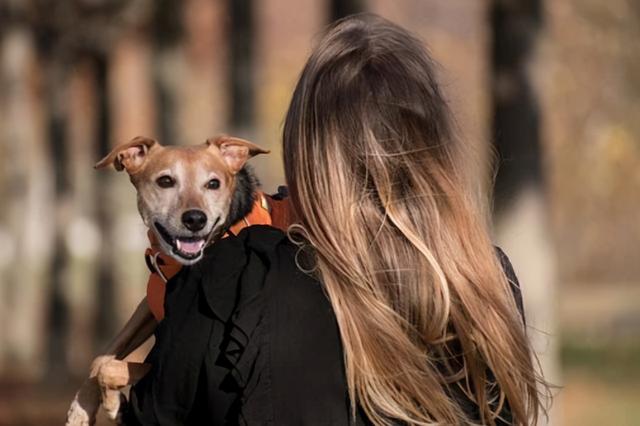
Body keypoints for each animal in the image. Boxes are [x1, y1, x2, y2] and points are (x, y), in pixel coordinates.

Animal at [66, 135, 272, 424]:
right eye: (165, 181)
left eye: (213, 183)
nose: (195, 219)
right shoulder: (149, 306)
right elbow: (101, 358)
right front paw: (81, 409)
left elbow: (111, 367)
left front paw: (115, 404)